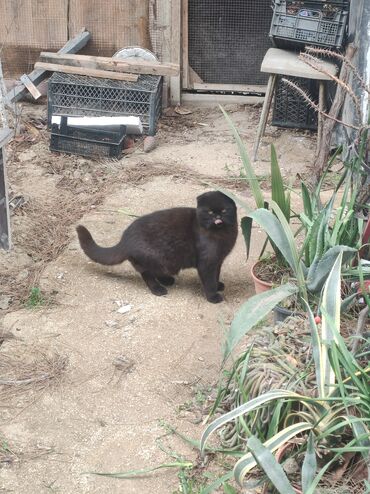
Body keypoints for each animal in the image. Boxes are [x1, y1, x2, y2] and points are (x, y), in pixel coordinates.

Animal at [76, 192, 237, 302]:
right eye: (209, 211)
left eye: (224, 210)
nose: (217, 217)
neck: (221, 235)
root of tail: (125, 240)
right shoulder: (207, 262)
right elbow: (209, 280)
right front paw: (213, 296)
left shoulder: (218, 261)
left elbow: (216, 275)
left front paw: (218, 285)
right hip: (154, 257)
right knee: (147, 274)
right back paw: (159, 289)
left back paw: (167, 280)